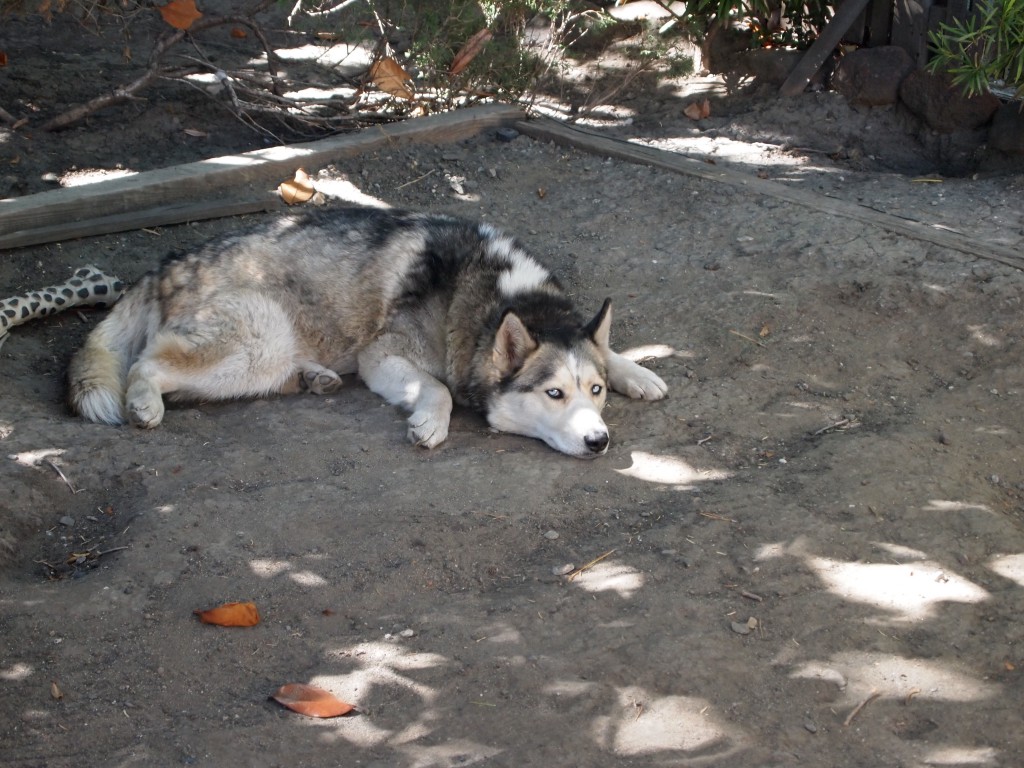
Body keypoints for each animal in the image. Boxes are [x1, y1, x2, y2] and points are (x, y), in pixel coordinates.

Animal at [68, 208, 667, 456]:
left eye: (595, 392)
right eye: (554, 394)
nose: (599, 441)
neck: (494, 291)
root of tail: (162, 264)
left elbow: (609, 347)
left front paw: (636, 371)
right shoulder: (383, 357)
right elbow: (439, 387)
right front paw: (430, 422)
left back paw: (314, 378)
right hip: (261, 337)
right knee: (147, 363)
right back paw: (143, 404)